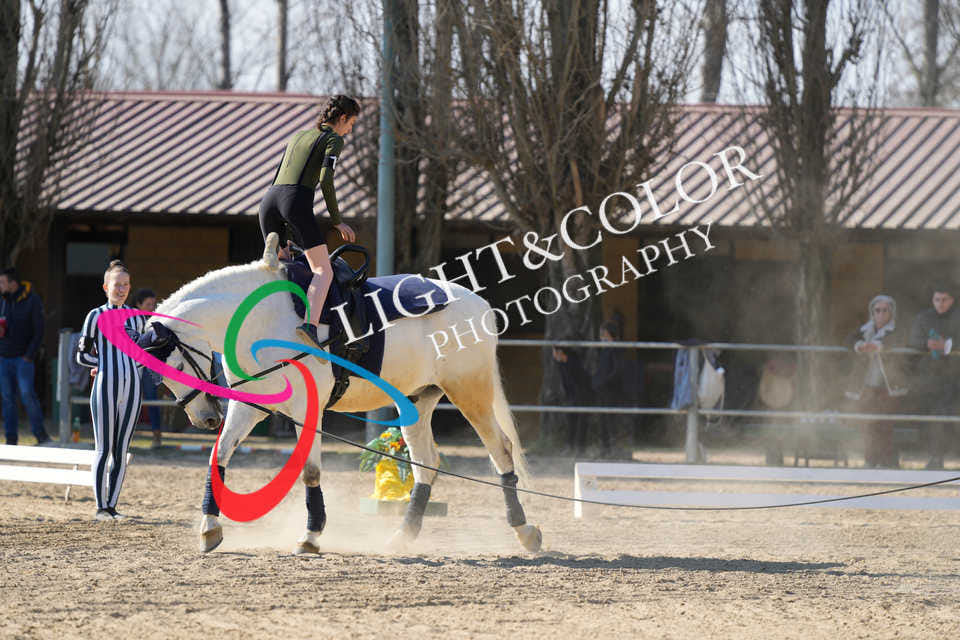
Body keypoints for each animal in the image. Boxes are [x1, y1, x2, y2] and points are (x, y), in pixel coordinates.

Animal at [145, 232, 542, 555]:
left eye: (176, 366)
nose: (205, 418)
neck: (262, 319)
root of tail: (477, 304)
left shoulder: (307, 410)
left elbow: (310, 472)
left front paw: (310, 537)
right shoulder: (248, 408)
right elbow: (219, 456)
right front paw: (210, 529)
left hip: (469, 393)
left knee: (501, 452)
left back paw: (525, 531)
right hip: (417, 401)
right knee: (427, 464)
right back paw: (402, 536)